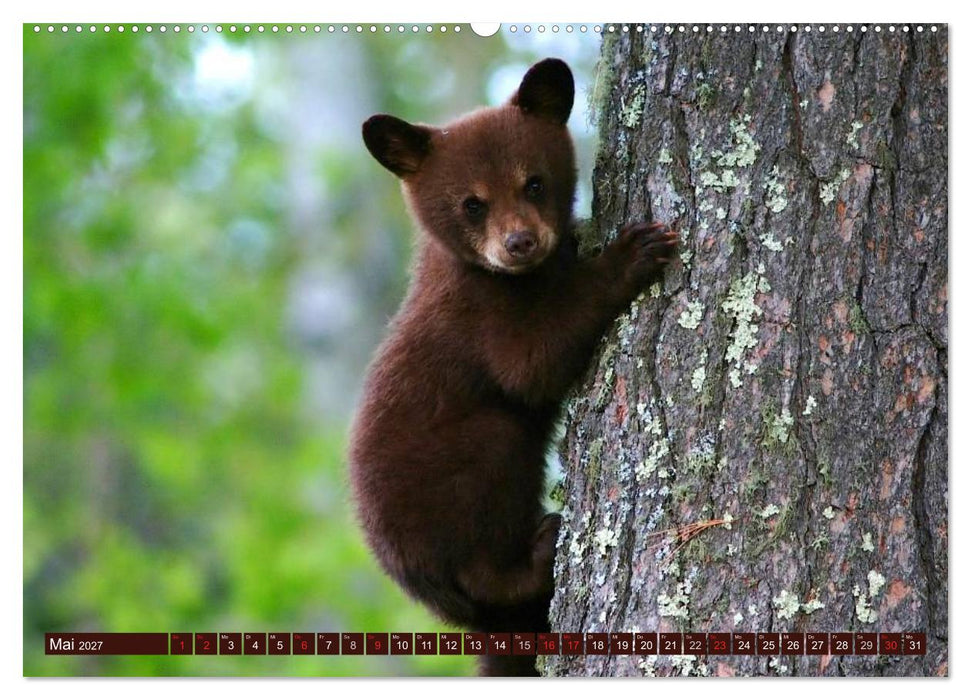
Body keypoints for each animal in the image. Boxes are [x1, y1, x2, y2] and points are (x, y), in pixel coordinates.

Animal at [349, 58, 678, 676]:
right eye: (471, 203)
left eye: (534, 182)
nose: (520, 242)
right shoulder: (478, 314)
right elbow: (532, 363)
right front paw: (633, 252)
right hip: (454, 482)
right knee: (488, 514)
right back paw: (540, 550)